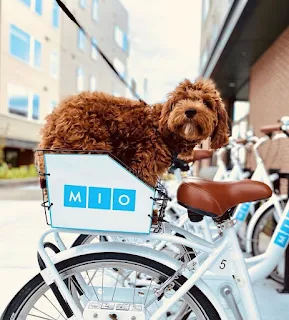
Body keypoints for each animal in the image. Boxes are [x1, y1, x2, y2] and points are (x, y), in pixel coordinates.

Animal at [37, 78, 227, 186]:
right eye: (180, 100)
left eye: (207, 103)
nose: (190, 111)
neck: (163, 129)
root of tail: (56, 115)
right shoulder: (145, 162)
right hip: (89, 144)